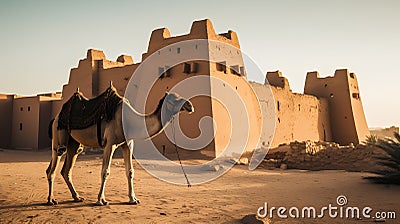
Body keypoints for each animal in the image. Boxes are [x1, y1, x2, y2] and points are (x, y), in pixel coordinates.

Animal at [46, 85, 195, 206]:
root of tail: (56, 117)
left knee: (66, 170)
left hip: (74, 144)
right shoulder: (110, 143)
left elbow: (130, 171)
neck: (129, 120)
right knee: (52, 168)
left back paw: (77, 197)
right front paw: (101, 200)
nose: (190, 105)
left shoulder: (128, 143)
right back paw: (51, 200)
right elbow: (105, 171)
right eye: (173, 99)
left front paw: (133, 199)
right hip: (58, 138)